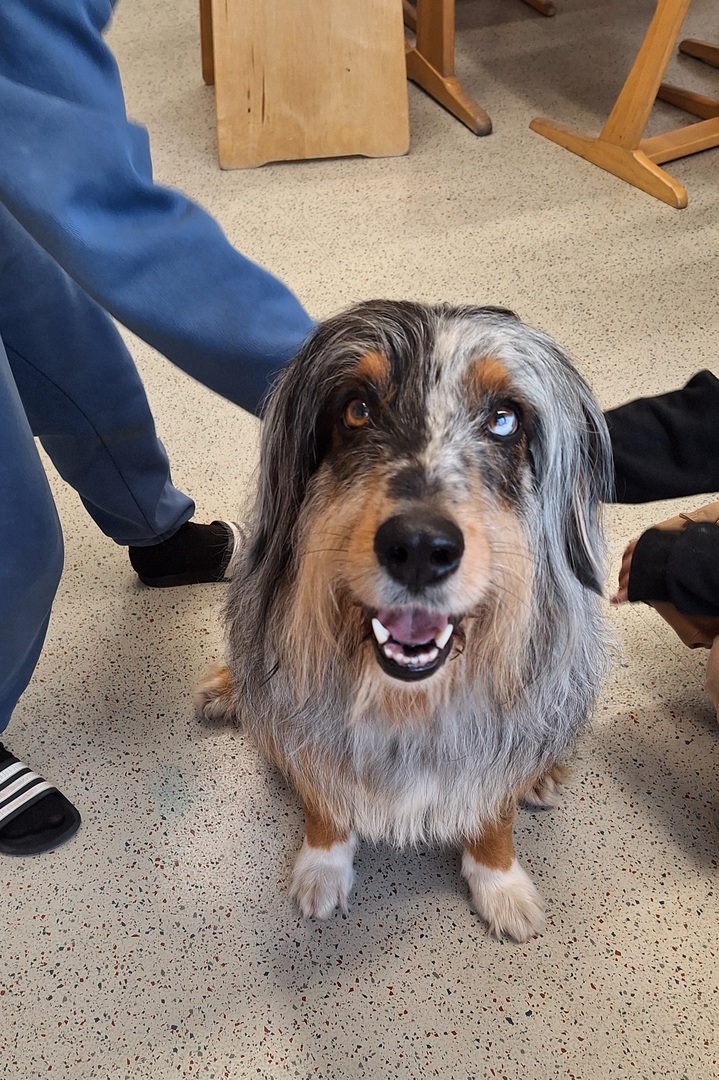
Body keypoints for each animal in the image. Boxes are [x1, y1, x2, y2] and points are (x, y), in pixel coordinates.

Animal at [197, 300, 612, 942]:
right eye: (357, 409)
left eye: (504, 420)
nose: (418, 547)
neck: (408, 702)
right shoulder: (313, 727)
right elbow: (324, 801)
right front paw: (323, 866)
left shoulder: (497, 740)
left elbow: (494, 814)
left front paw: (501, 883)